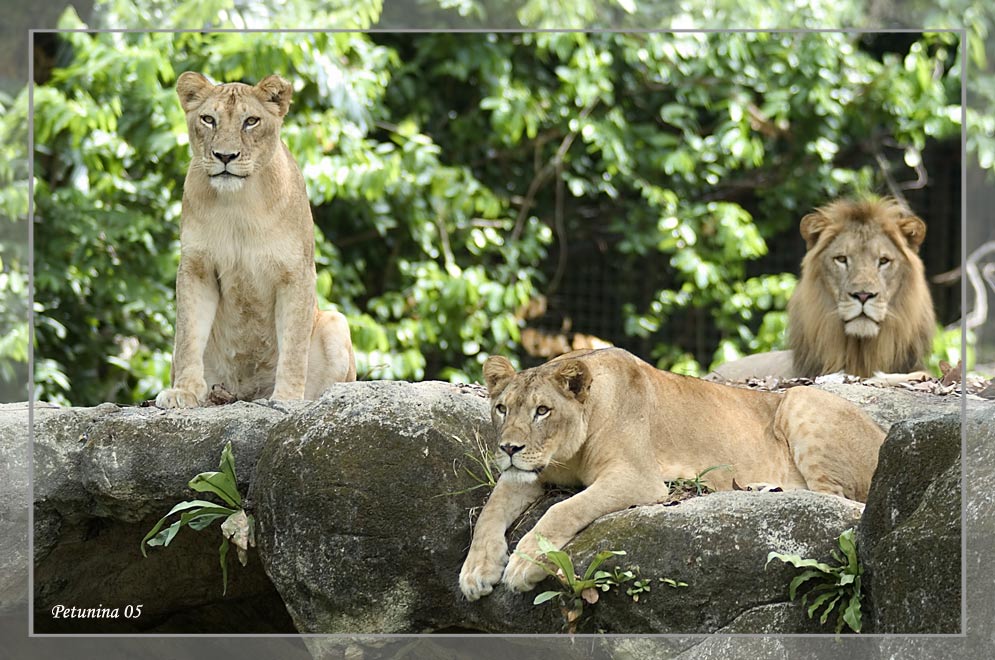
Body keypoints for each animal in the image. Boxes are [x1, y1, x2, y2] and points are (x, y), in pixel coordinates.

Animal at [154, 73, 356, 412]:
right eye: (208, 119)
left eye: (250, 121)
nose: (225, 156)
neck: (238, 205)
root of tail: (243, 396)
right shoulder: (197, 268)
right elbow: (188, 336)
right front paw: (183, 391)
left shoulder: (296, 273)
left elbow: (293, 347)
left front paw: (287, 398)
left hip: (334, 321)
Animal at [458, 348, 880, 600]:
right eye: (502, 408)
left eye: (542, 411)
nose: (509, 449)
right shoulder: (534, 473)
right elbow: (489, 512)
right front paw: (476, 571)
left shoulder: (638, 477)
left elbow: (562, 510)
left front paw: (524, 564)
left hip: (800, 400)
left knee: (837, 499)